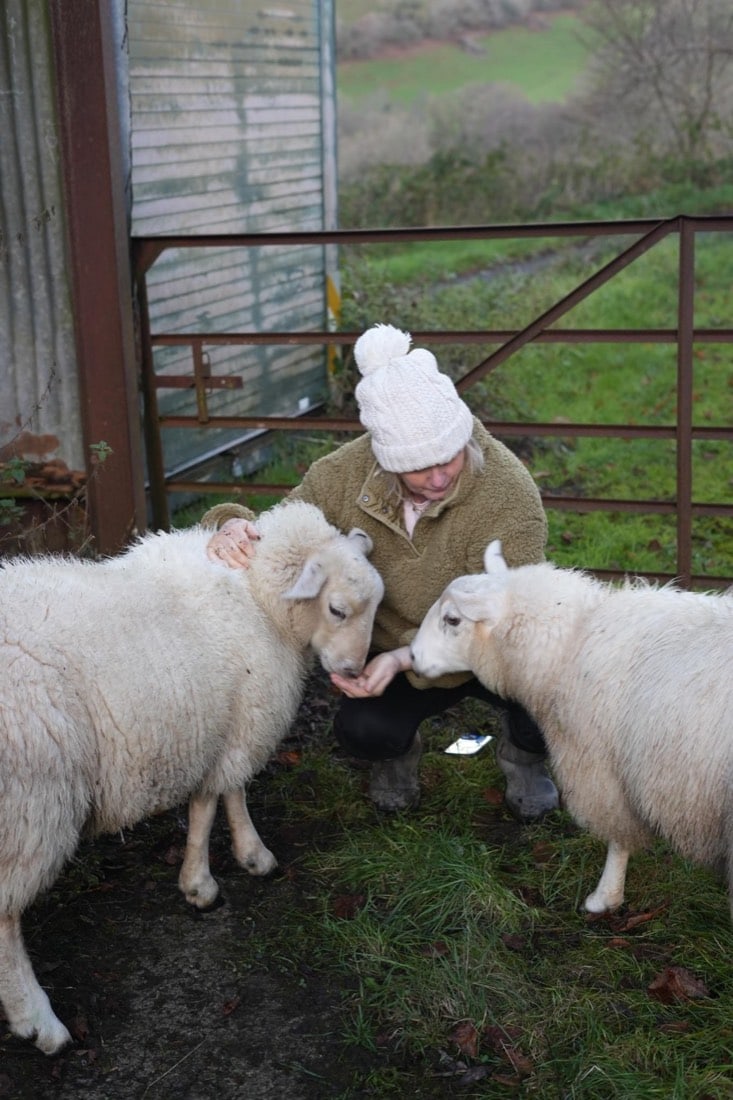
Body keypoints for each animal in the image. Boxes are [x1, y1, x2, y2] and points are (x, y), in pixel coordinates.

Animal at [0, 499, 384, 1055]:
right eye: (337, 609)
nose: (354, 674)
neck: (258, 599)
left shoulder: (227, 724)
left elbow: (228, 795)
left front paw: (244, 856)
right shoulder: (231, 728)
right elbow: (212, 803)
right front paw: (208, 881)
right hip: (31, 805)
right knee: (5, 919)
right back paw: (40, 1021)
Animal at [410, 540, 733, 921]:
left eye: (452, 619)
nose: (412, 656)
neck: (570, 643)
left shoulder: (603, 770)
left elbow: (618, 839)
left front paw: (605, 897)